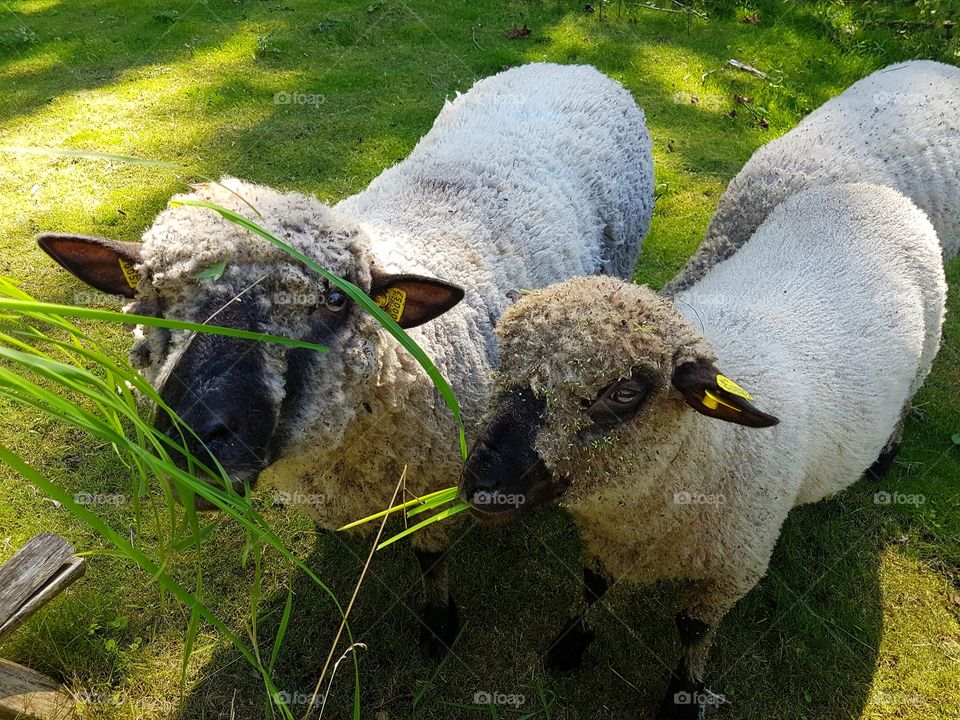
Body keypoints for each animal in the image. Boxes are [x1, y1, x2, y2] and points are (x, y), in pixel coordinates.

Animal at [36, 62, 654, 656]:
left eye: (336, 300)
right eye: (149, 291)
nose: (192, 441)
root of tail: (573, 66)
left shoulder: (431, 481)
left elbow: (430, 560)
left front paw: (438, 626)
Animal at [460, 183, 947, 719]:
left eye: (624, 393)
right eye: (503, 358)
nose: (481, 483)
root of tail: (876, 191)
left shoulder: (733, 569)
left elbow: (693, 629)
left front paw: (684, 694)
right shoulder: (603, 539)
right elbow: (593, 587)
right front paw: (570, 644)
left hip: (925, 359)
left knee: (905, 407)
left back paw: (884, 460)